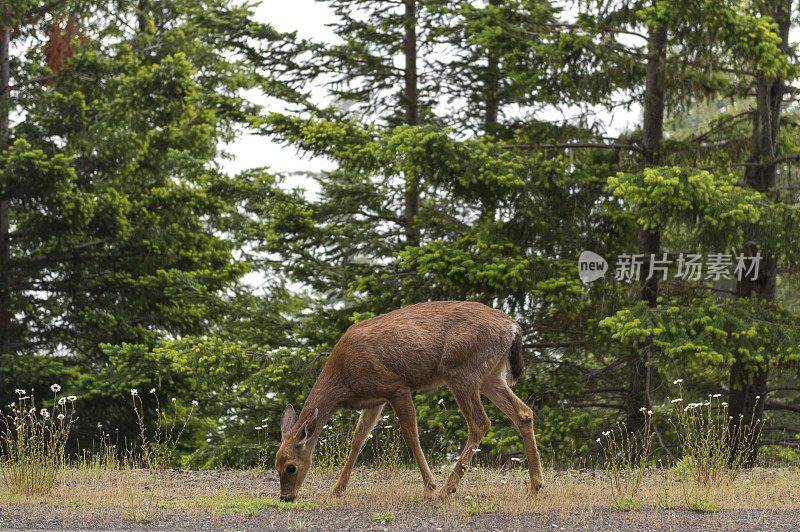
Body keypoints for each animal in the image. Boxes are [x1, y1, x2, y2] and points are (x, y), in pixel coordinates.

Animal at [274, 302, 544, 500]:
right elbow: (358, 439)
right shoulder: (375, 399)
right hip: (491, 375)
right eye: (275, 465)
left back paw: (447, 489)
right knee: (524, 413)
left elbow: (411, 435)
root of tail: (513, 328)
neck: (344, 381)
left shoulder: (396, 386)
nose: (286, 497)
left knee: (480, 422)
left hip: (461, 370)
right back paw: (535, 486)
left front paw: (429, 485)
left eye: (290, 467)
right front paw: (338, 488)